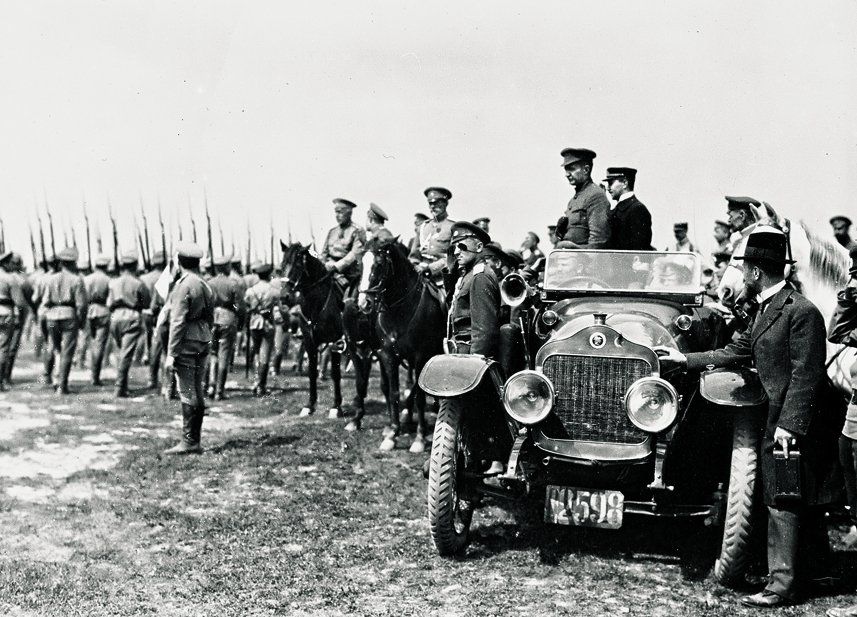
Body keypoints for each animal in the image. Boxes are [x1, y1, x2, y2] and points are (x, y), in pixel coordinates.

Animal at [280, 241, 348, 418]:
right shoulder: (309, 342)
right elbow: (312, 371)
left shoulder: (335, 342)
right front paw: (309, 405)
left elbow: (335, 373)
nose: (284, 297)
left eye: (297, 265)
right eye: (281, 265)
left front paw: (336, 407)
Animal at [358, 236, 448, 452]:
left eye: (379, 264)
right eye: (360, 264)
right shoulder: (388, 356)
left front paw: (419, 438)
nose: (364, 303)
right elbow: (393, 393)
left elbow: (420, 398)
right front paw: (392, 433)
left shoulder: (421, 357)